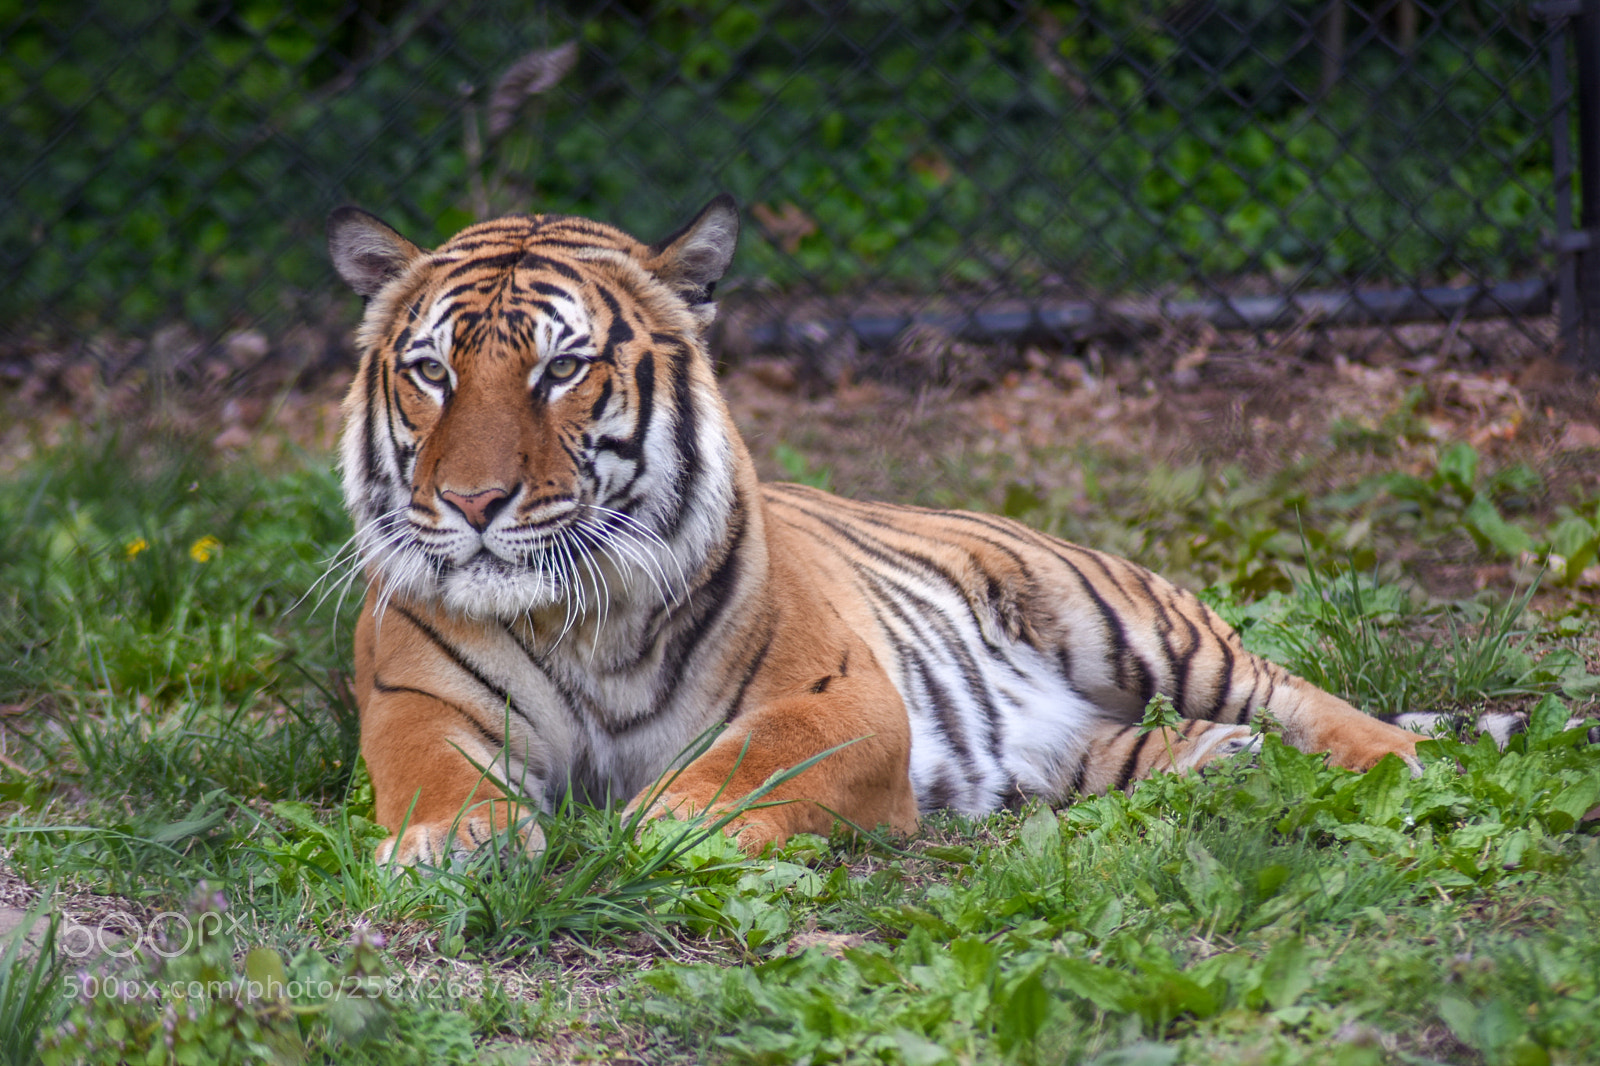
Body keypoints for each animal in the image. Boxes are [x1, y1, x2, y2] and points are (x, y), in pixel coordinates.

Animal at [326, 196, 1426, 865]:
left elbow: (743, 767)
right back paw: (1220, 759)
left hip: (1126, 620)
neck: (576, 618)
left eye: (561, 369)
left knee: (1292, 689)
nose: (473, 502)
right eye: (433, 372)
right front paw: (448, 845)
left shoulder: (843, 696)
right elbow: (435, 776)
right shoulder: (417, 704)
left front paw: (659, 827)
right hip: (1065, 750)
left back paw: (1398, 759)